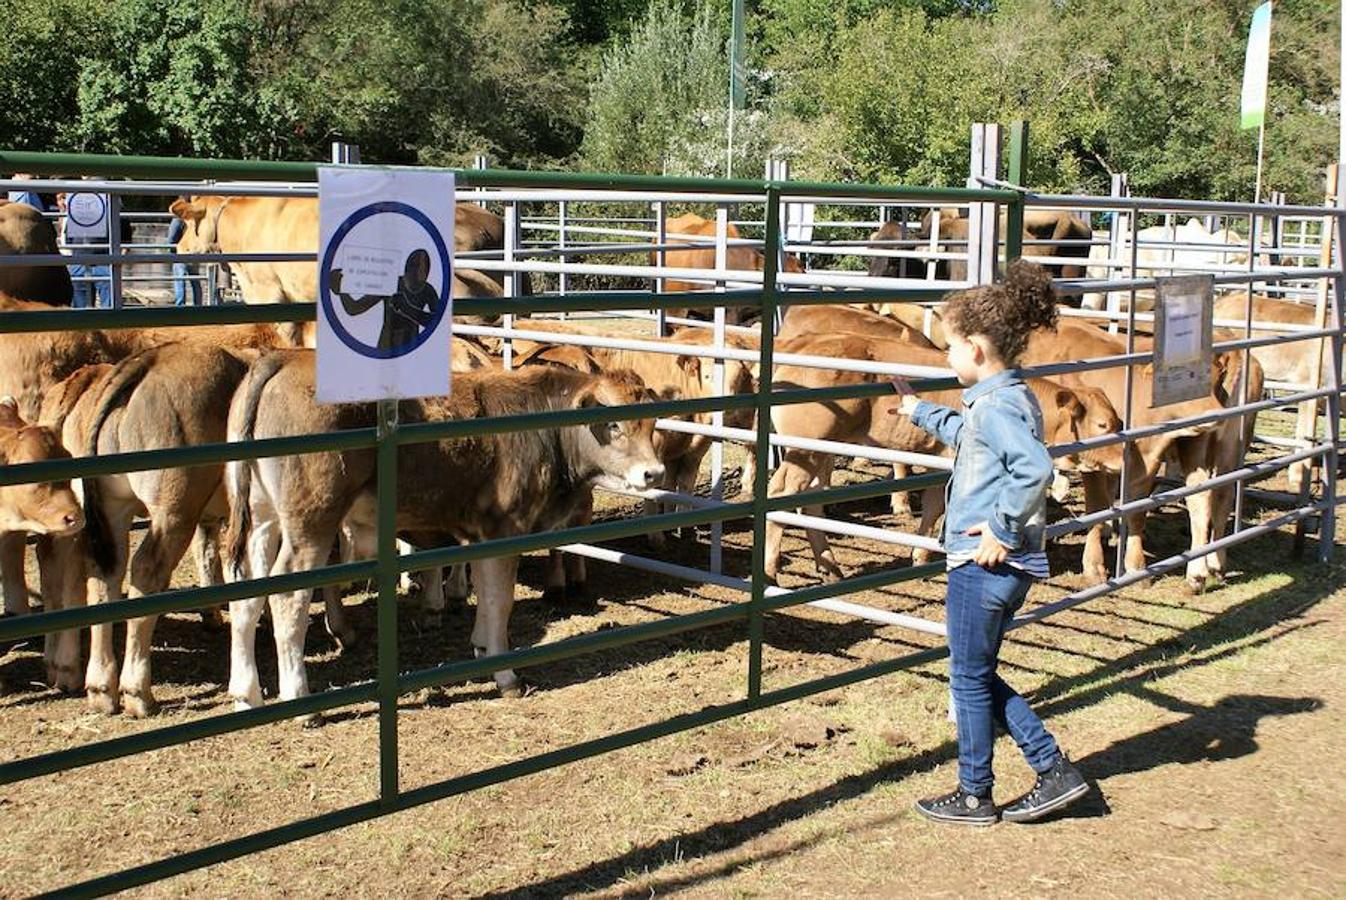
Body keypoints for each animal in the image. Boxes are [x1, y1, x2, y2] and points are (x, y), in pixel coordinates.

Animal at [227, 349, 667, 710]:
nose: (654, 472)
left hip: (262, 518)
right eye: (612, 423)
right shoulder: (507, 528)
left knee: (246, 592)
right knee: (288, 597)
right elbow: (501, 600)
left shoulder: (481, 535)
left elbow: (486, 595)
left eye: (650, 424)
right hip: (311, 523)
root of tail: (283, 359)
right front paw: (505, 674)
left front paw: (480, 647)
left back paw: (246, 693)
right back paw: (300, 699)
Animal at [764, 333, 1119, 578]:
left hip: (822, 451)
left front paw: (920, 556)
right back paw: (770, 570)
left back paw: (830, 568)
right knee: (780, 493)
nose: (1120, 462)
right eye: (1101, 424)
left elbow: (934, 507)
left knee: (810, 501)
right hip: (805, 449)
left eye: (1116, 421)